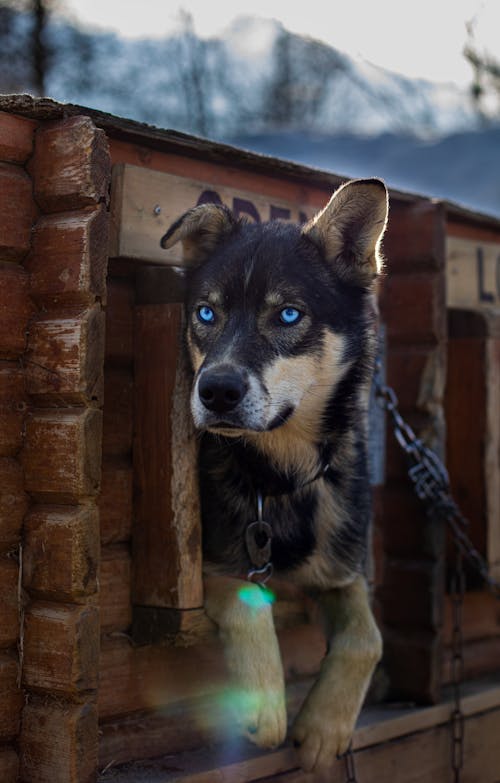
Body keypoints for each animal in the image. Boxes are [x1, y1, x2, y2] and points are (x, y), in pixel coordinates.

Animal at [162, 179, 388, 776]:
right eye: (206, 313)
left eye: (288, 315)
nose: (216, 390)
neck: (281, 477)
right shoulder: (216, 565)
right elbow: (248, 602)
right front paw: (264, 707)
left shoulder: (342, 568)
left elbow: (368, 637)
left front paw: (325, 727)